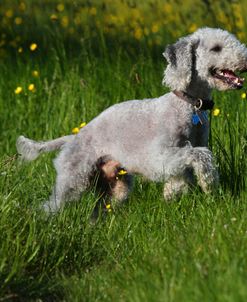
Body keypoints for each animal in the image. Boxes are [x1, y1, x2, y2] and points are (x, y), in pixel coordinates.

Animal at [16, 27, 247, 214]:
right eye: (216, 48)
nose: (245, 61)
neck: (189, 105)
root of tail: (73, 138)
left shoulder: (180, 157)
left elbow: (185, 172)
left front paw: (171, 193)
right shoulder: (159, 156)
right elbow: (200, 155)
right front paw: (209, 184)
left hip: (117, 185)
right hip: (72, 178)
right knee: (51, 205)